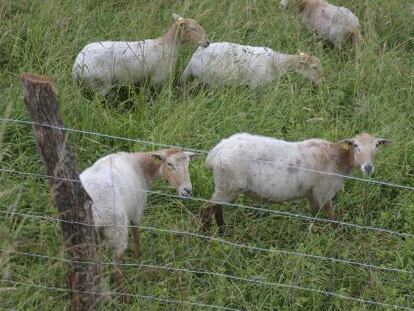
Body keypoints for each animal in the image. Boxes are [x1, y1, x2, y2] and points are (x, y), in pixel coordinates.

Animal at [73, 13, 209, 95]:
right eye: (193, 28)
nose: (207, 42)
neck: (168, 45)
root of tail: (77, 64)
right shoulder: (158, 78)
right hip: (100, 83)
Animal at [79, 149, 199, 286]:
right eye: (170, 164)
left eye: (188, 164)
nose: (187, 190)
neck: (140, 166)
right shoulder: (136, 211)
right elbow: (136, 236)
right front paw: (138, 258)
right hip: (117, 229)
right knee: (117, 262)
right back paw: (123, 287)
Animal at [181, 41, 324, 90]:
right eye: (314, 67)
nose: (321, 82)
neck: (276, 62)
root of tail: (192, 60)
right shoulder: (256, 84)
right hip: (211, 80)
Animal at [202, 133, 390, 234]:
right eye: (356, 145)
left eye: (376, 146)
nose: (368, 168)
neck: (337, 159)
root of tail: (213, 154)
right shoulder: (324, 191)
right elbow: (333, 218)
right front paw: (338, 238)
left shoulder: (312, 193)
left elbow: (313, 214)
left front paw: (311, 233)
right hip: (228, 185)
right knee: (206, 209)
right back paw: (207, 235)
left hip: (225, 186)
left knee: (216, 209)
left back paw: (222, 232)